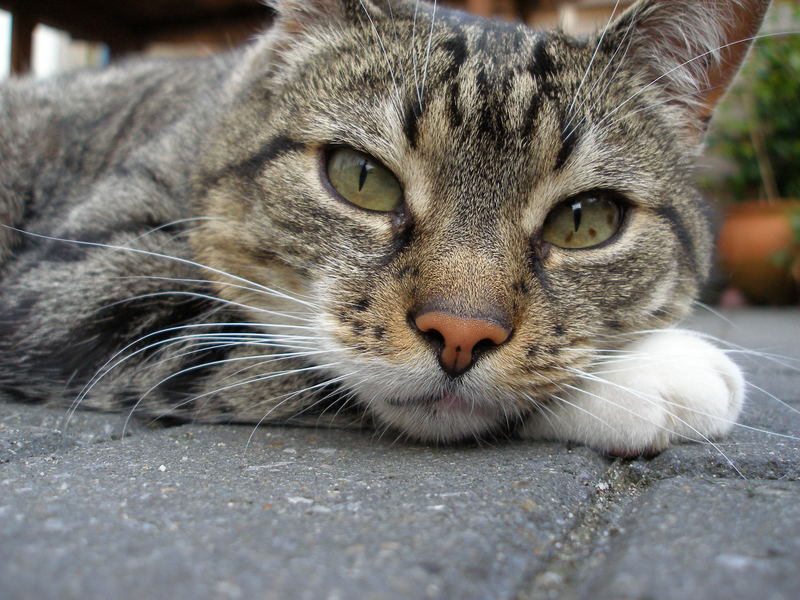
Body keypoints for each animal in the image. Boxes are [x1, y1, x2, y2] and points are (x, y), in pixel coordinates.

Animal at [0, 0, 776, 458]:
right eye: (361, 178)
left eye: (586, 221)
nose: (462, 332)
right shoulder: (73, 286)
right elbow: (283, 356)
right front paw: (659, 371)